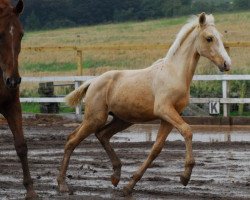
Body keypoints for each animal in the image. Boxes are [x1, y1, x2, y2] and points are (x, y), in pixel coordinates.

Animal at [57, 13, 231, 195]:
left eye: (220, 37)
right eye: (209, 38)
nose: (227, 64)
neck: (174, 73)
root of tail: (93, 81)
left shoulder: (169, 117)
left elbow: (156, 148)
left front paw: (130, 185)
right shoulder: (164, 110)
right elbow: (187, 131)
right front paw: (185, 176)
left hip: (122, 120)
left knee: (102, 135)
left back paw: (116, 176)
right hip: (95, 118)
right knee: (72, 140)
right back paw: (63, 185)